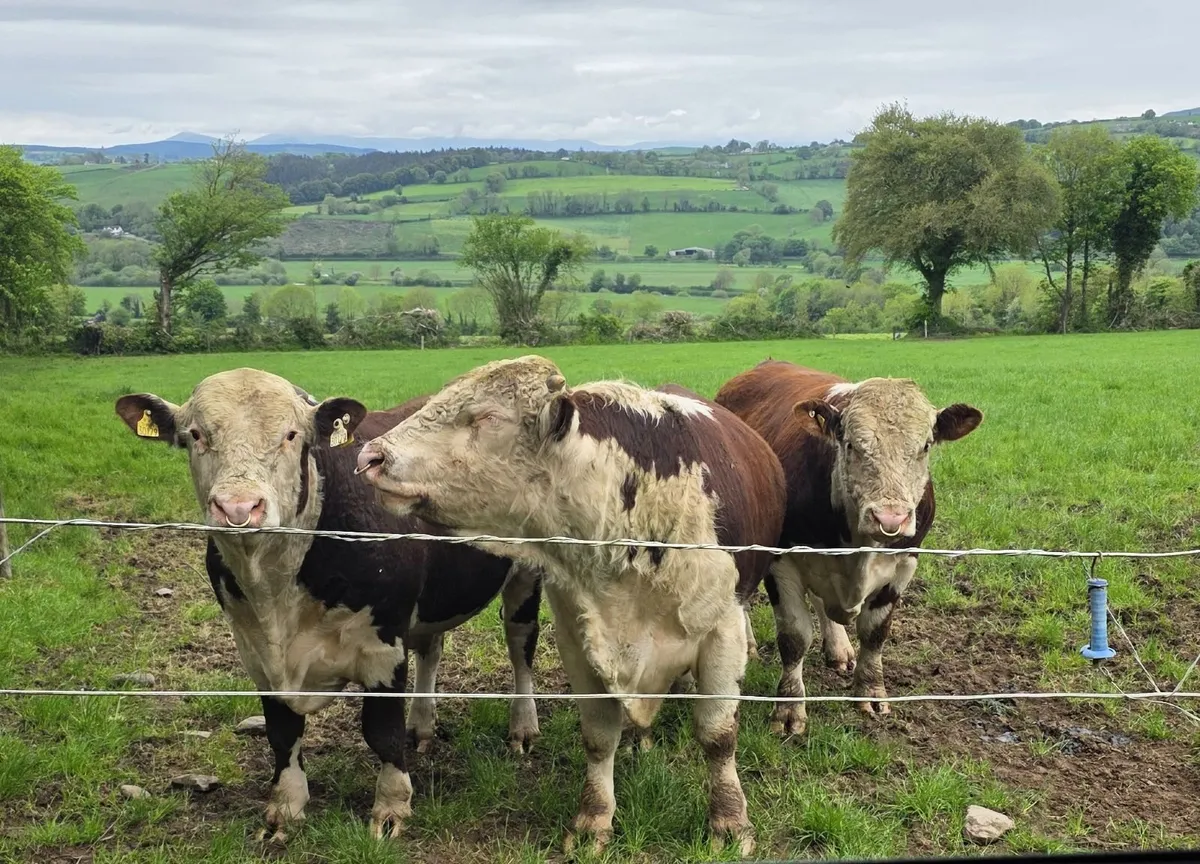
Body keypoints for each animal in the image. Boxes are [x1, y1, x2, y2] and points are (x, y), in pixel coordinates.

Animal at [114, 368, 543, 843]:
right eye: (195, 435)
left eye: (290, 435)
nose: (238, 507)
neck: (276, 590)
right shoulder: (256, 652)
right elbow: (282, 733)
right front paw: (286, 806)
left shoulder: (383, 645)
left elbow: (381, 731)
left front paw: (391, 806)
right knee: (432, 648)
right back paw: (422, 724)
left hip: (527, 575)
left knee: (521, 646)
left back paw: (522, 726)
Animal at [353, 355, 786, 855]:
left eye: (486, 417)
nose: (370, 457)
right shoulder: (579, 640)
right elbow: (598, 736)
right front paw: (593, 819)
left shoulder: (722, 631)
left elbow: (717, 735)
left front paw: (729, 821)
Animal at [714, 360, 982, 736]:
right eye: (852, 445)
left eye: (926, 445)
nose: (890, 517)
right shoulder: (783, 561)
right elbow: (794, 637)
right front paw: (789, 708)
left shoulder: (904, 563)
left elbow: (874, 633)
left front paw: (870, 691)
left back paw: (838, 647)